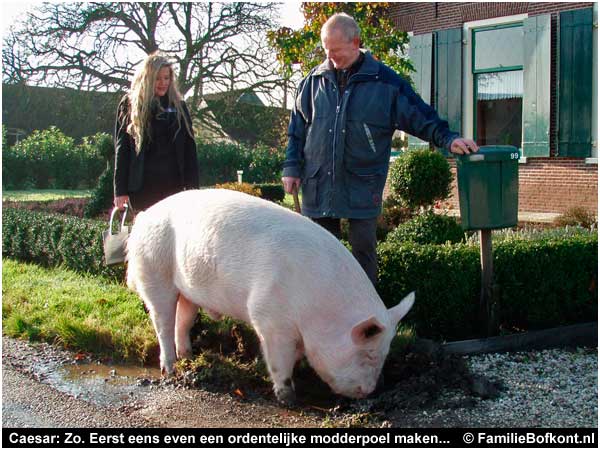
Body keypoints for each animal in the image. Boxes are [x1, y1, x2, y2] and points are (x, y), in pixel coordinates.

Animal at [127, 188, 414, 402]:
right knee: (162, 321)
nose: (369, 392)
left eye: (385, 353)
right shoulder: (269, 317)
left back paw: (188, 356)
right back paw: (169, 368)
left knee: (182, 320)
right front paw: (288, 398)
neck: (319, 308)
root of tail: (142, 217)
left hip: (187, 288)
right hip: (154, 271)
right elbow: (278, 359)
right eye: (368, 354)